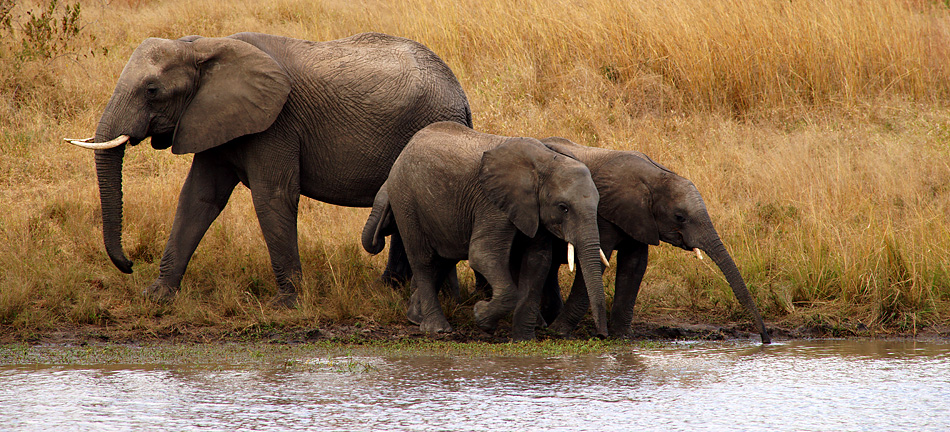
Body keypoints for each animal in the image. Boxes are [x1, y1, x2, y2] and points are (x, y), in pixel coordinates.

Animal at [65, 32, 474, 306]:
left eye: (152, 90)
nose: (129, 264)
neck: (201, 47)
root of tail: (461, 96)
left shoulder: (277, 123)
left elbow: (273, 196)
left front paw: (287, 304)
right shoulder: (212, 117)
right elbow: (198, 198)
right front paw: (157, 296)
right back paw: (393, 289)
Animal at [364, 121, 608, 340]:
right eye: (563, 207)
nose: (602, 335)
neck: (546, 161)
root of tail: (406, 148)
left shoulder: (531, 209)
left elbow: (537, 261)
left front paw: (523, 338)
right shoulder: (492, 204)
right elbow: (483, 255)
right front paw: (481, 316)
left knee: (443, 258)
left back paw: (416, 317)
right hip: (406, 200)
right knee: (423, 260)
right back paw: (437, 328)